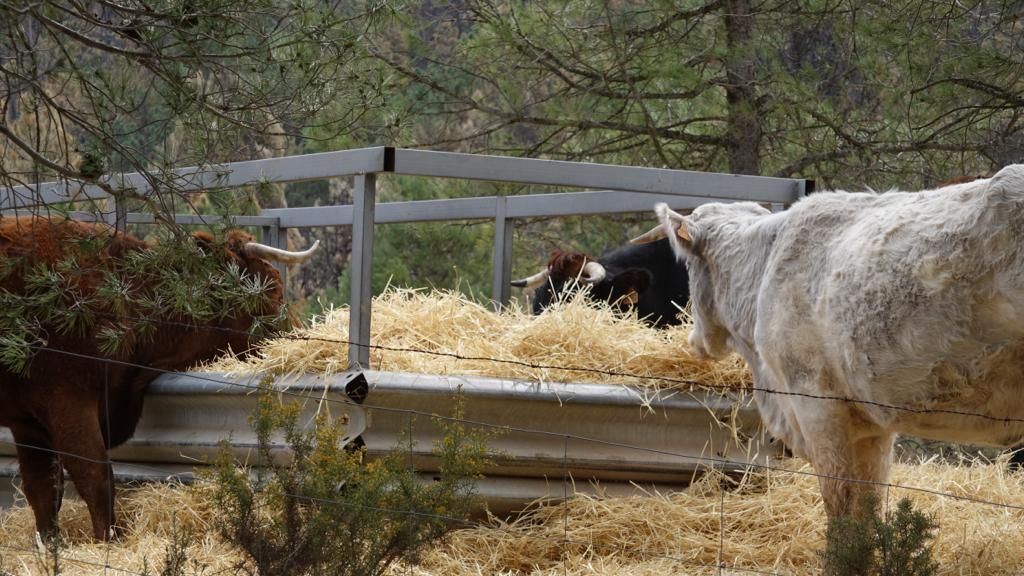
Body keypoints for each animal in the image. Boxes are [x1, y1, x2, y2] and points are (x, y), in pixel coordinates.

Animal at [0, 215, 315, 537]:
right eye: (273, 291)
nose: (299, 335)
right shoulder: (69, 403)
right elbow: (95, 478)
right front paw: (107, 543)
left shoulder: (28, 424)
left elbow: (43, 491)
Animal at [634, 165, 1024, 516]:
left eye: (686, 267)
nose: (693, 338)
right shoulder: (874, 425)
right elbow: (869, 510)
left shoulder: (815, 403)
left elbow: (840, 506)